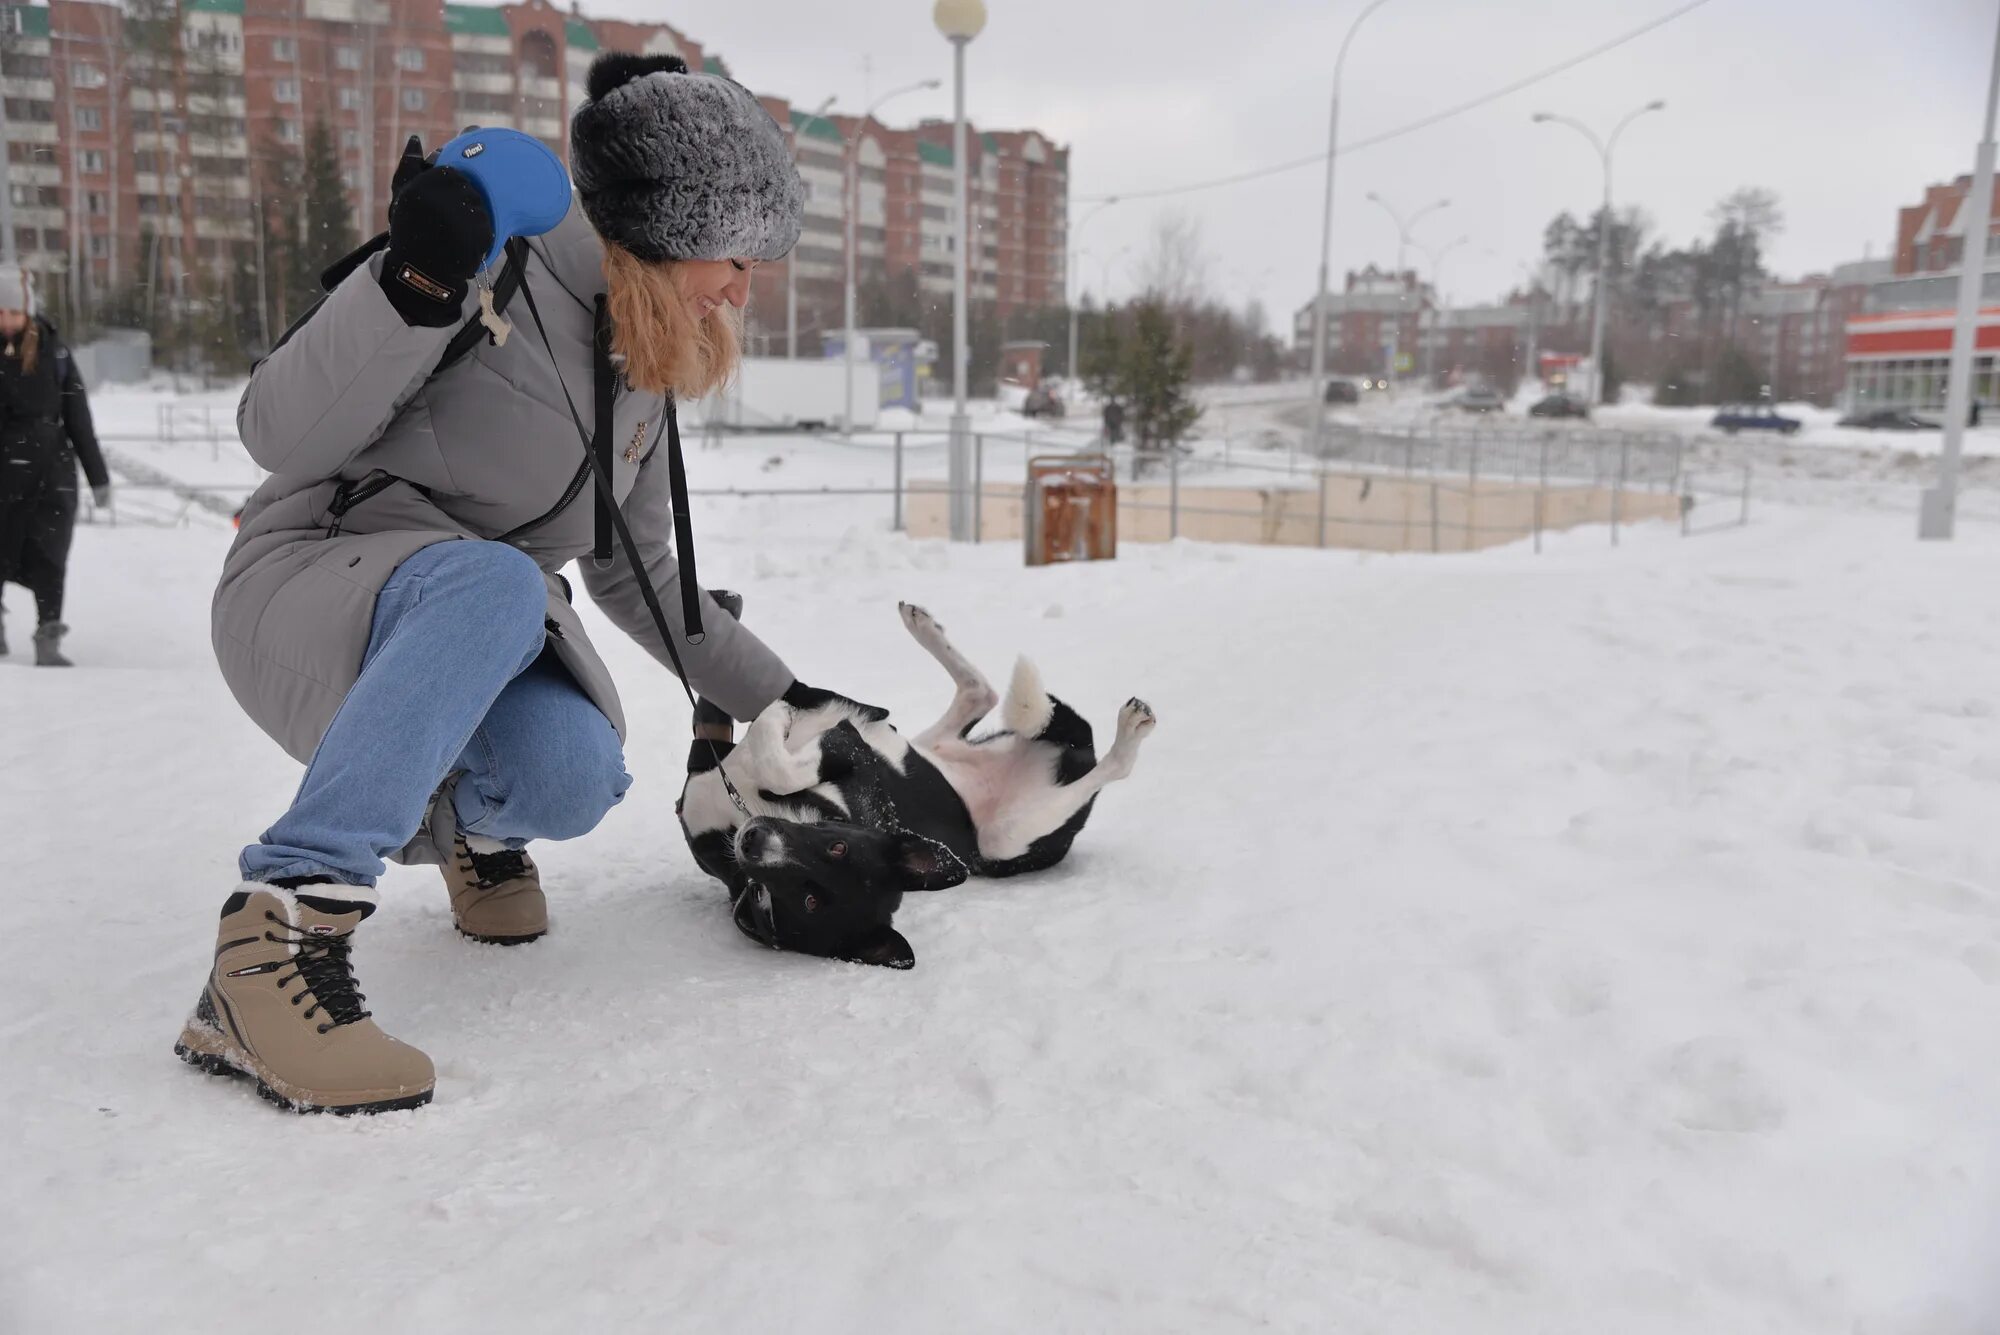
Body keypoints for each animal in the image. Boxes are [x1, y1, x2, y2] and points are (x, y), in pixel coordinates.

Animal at [680, 603, 1160, 971]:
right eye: (836, 846)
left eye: (809, 900)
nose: (753, 842)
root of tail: (1075, 753)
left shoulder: (849, 754)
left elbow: (782, 754)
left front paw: (779, 721)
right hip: (936, 748)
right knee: (980, 695)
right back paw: (922, 626)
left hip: (1006, 842)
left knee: (1109, 769)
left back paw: (1128, 734)